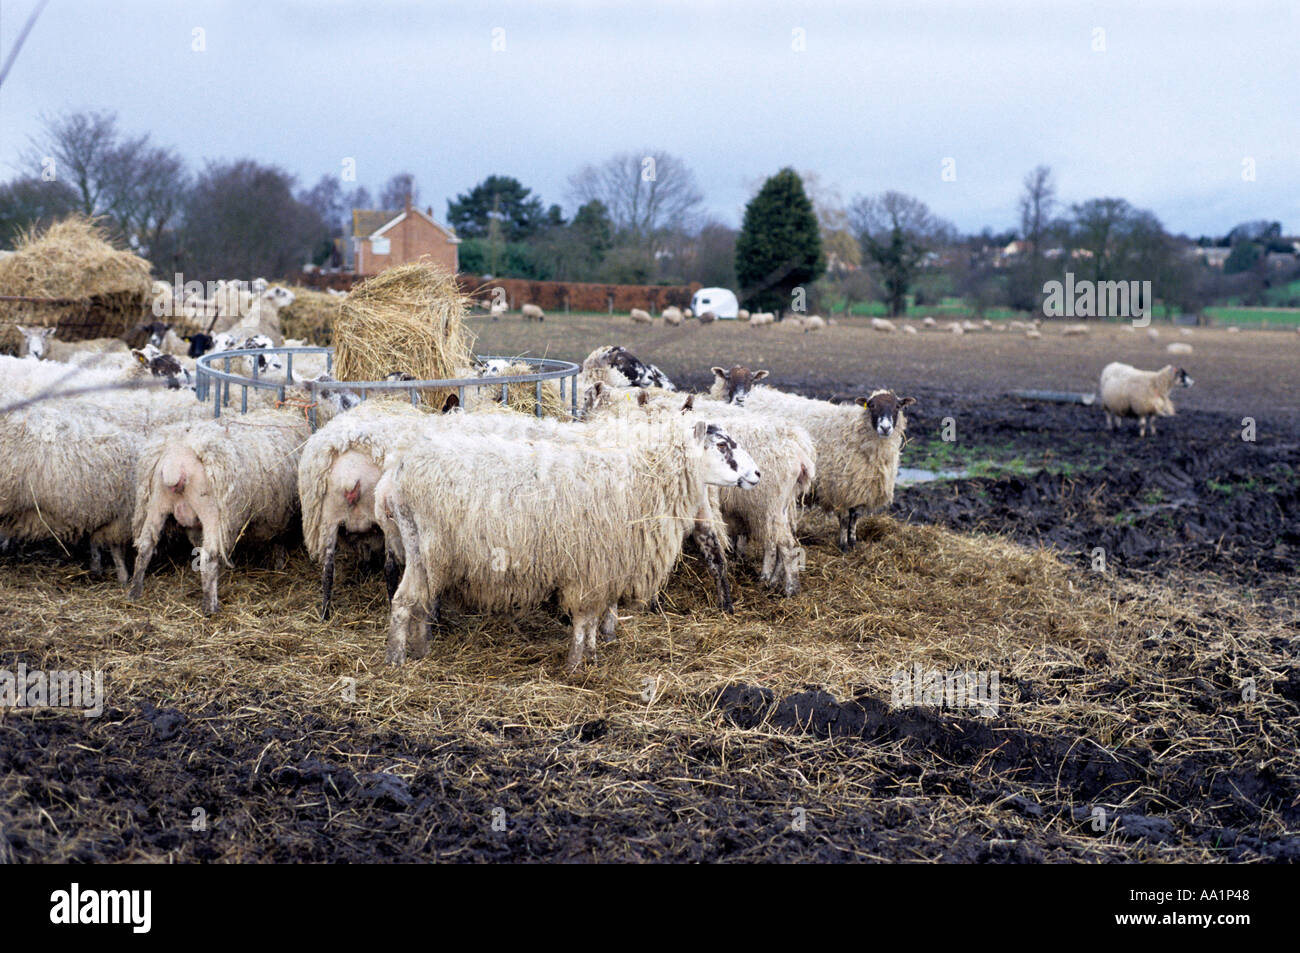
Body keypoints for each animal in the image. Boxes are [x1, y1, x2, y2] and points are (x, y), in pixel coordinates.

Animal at [130, 405, 312, 613]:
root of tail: (175, 465)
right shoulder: (280, 515)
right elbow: (278, 542)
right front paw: (279, 565)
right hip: (213, 513)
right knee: (209, 557)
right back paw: (210, 607)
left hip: (156, 504)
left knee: (145, 546)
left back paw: (134, 592)